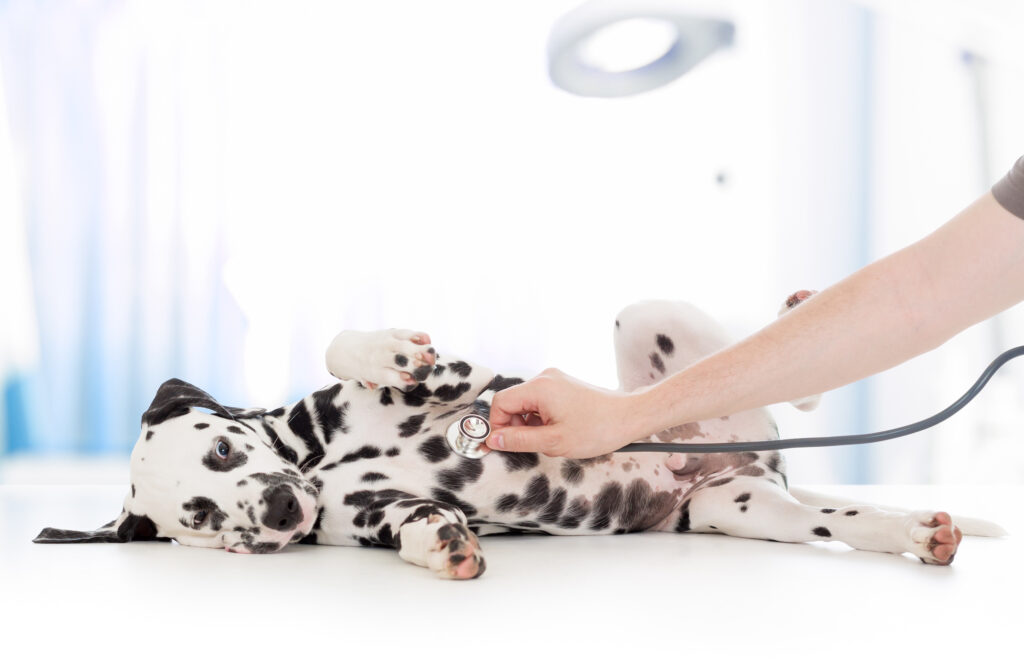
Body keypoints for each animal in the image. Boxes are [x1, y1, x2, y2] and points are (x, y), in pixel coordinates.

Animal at [34, 295, 1007, 577]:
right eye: (202, 521)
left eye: (225, 451)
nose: (275, 513)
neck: (321, 460)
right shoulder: (382, 512)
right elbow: (420, 525)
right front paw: (441, 546)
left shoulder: (464, 381)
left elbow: (356, 347)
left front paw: (384, 352)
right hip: (748, 509)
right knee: (846, 521)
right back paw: (917, 532)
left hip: (651, 320)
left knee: (790, 369)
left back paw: (797, 316)